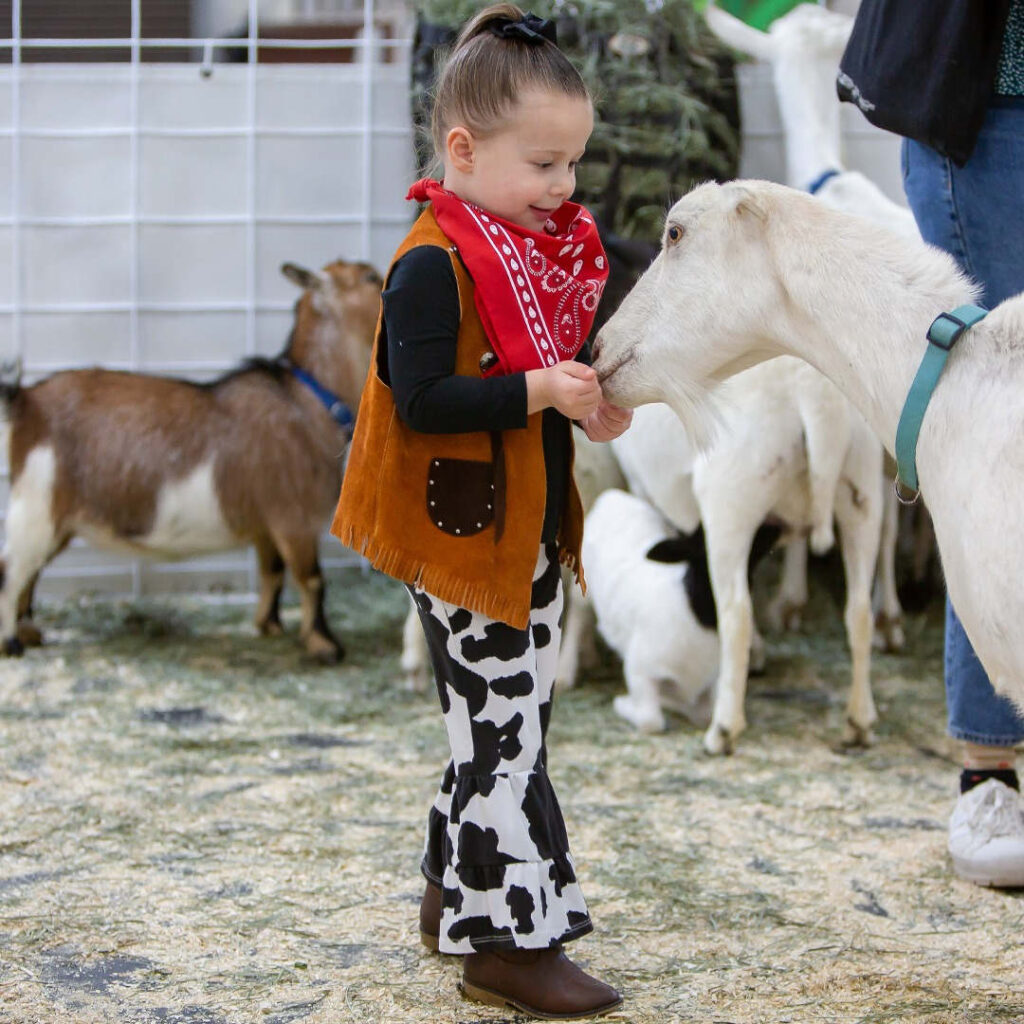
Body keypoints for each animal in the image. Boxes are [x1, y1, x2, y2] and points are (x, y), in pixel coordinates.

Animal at [0, 260, 382, 659]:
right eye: (370, 277)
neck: (307, 401)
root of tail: (26, 401)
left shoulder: (266, 523)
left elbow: (272, 571)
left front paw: (270, 625)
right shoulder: (294, 516)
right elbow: (312, 578)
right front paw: (326, 645)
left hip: (56, 519)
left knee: (31, 573)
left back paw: (29, 632)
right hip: (38, 504)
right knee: (11, 571)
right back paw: (10, 642)